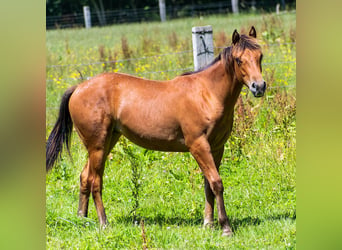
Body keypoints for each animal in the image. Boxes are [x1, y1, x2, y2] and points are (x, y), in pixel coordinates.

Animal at [46, 26, 264, 236]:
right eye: (239, 59)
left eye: (260, 56)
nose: (259, 87)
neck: (207, 94)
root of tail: (78, 88)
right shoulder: (198, 146)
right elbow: (217, 183)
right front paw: (225, 227)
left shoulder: (217, 147)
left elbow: (208, 184)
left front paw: (208, 224)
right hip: (98, 147)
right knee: (95, 181)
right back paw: (103, 223)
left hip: (106, 142)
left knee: (84, 177)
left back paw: (82, 219)